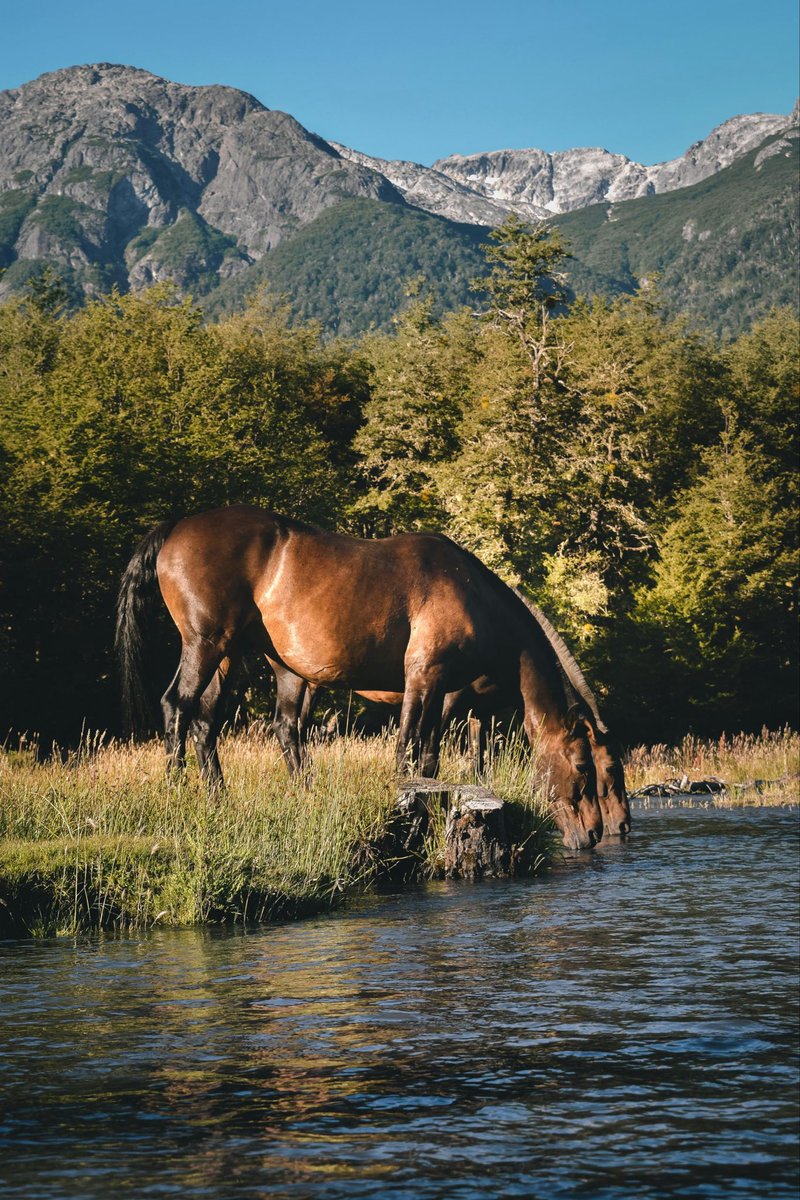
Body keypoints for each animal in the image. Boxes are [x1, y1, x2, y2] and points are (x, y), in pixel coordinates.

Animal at [115, 505, 604, 850]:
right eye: (583, 765)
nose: (596, 833)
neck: (472, 594)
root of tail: (178, 526)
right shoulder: (422, 676)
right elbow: (407, 747)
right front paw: (404, 807)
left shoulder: (442, 689)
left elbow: (430, 757)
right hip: (206, 644)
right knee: (177, 707)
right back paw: (179, 793)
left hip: (240, 659)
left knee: (222, 723)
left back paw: (228, 798)